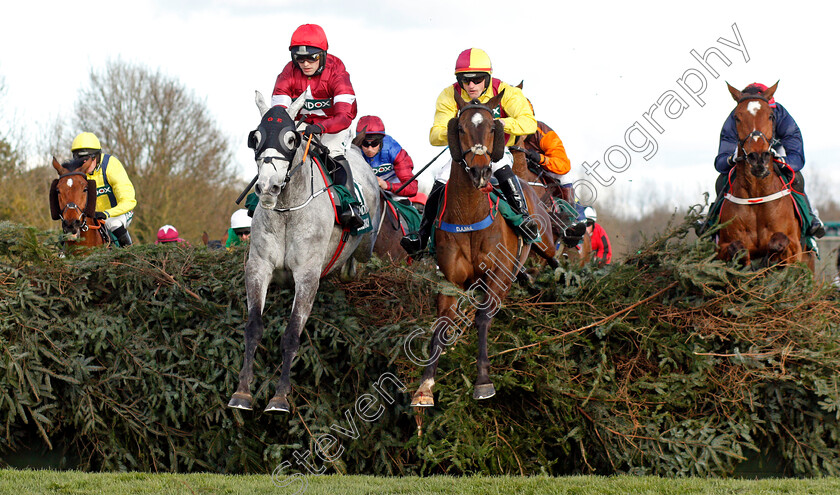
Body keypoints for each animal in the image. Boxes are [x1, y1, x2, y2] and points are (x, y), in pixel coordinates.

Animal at [225, 91, 378, 412]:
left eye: (291, 138)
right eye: (255, 137)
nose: (267, 187)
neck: (286, 209)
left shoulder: (307, 275)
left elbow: (292, 333)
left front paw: (280, 397)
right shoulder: (259, 266)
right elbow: (253, 327)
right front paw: (242, 392)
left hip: (366, 250)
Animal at [408, 89, 556, 406]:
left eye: (491, 128)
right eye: (461, 129)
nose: (480, 172)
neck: (470, 217)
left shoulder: (497, 275)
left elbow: (483, 318)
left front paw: (483, 381)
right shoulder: (450, 281)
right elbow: (441, 325)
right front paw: (425, 386)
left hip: (545, 241)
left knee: (555, 260)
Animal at [716, 83, 812, 274]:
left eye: (770, 115)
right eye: (737, 117)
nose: (758, 158)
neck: (756, 195)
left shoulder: (795, 248)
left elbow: (778, 241)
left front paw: (768, 259)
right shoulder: (722, 246)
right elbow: (737, 247)